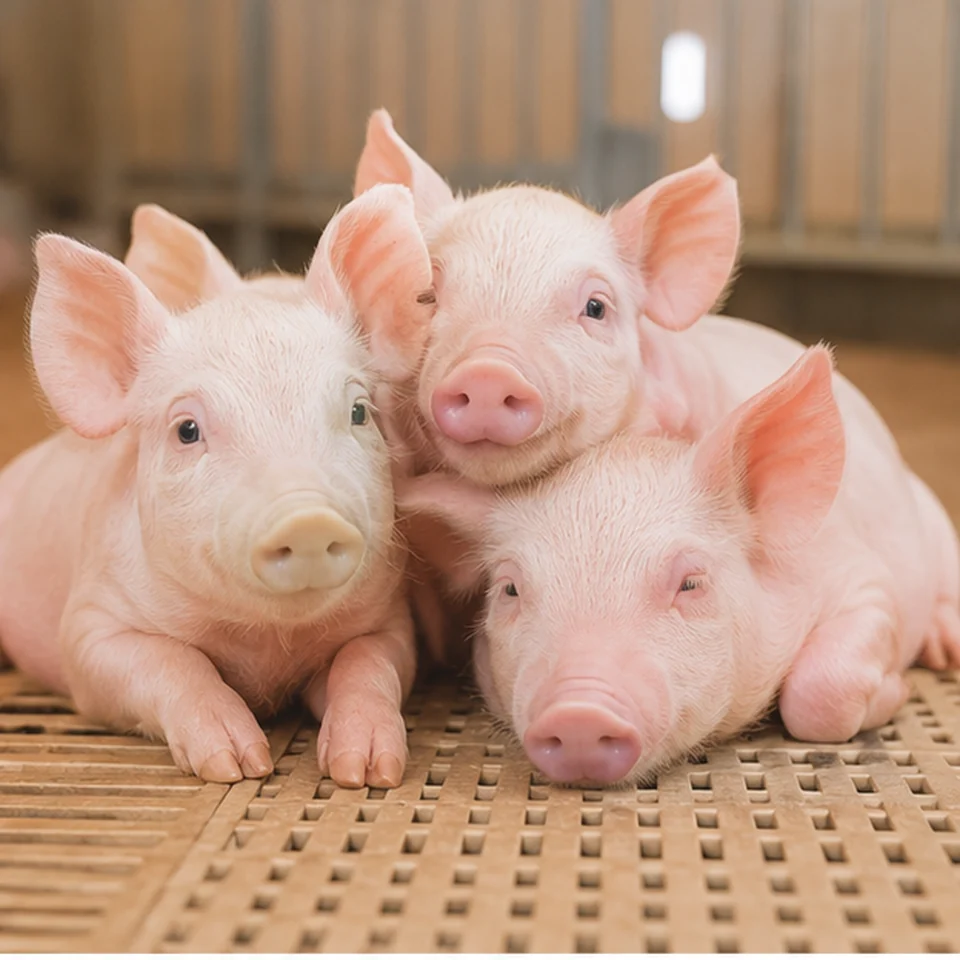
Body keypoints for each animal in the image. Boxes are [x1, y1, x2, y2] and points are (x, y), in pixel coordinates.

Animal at [0, 183, 434, 786]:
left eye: (359, 411)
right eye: (187, 429)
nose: (306, 516)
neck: (265, 644)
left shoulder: (387, 618)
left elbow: (368, 664)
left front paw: (366, 771)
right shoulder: (90, 627)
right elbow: (170, 660)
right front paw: (237, 766)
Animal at [398, 347, 960, 785]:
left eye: (690, 582)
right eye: (509, 589)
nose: (579, 711)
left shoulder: (860, 578)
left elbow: (818, 694)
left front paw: (899, 689)